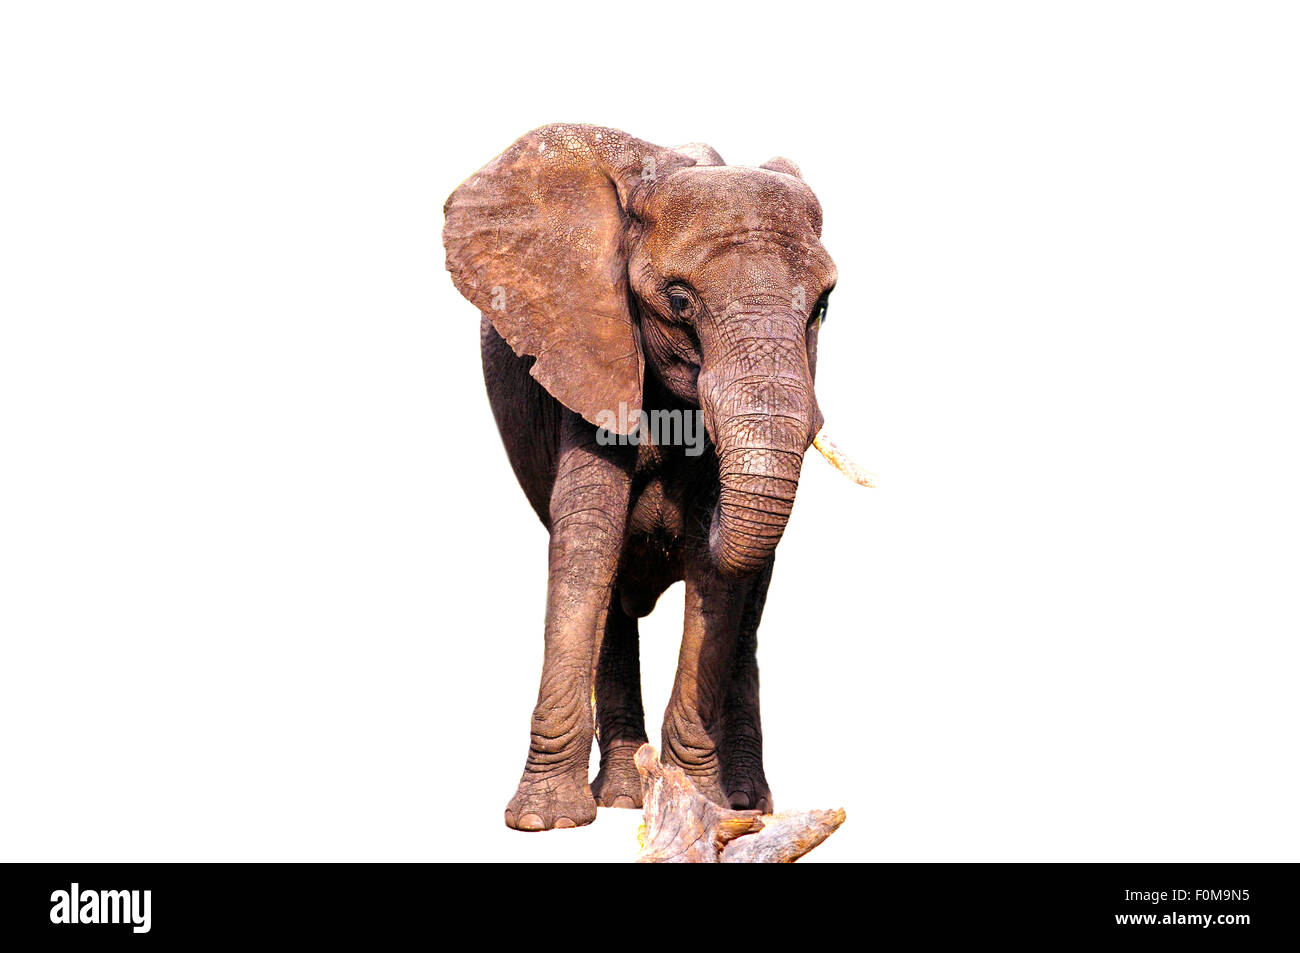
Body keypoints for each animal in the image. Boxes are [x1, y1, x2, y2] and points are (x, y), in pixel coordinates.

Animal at [443, 124, 863, 831]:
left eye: (824, 307)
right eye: (678, 299)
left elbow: (716, 580)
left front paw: (704, 806)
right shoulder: (587, 348)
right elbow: (590, 537)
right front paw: (544, 824)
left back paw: (745, 804)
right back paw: (619, 799)